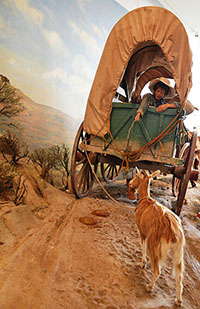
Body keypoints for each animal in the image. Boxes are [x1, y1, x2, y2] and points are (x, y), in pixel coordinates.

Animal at [129, 170, 185, 304]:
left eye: (136, 176)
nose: (130, 184)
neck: (146, 199)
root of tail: (174, 232)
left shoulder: (142, 232)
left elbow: (142, 246)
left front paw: (142, 263)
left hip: (154, 244)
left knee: (158, 270)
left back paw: (149, 287)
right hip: (178, 251)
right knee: (179, 275)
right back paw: (178, 300)